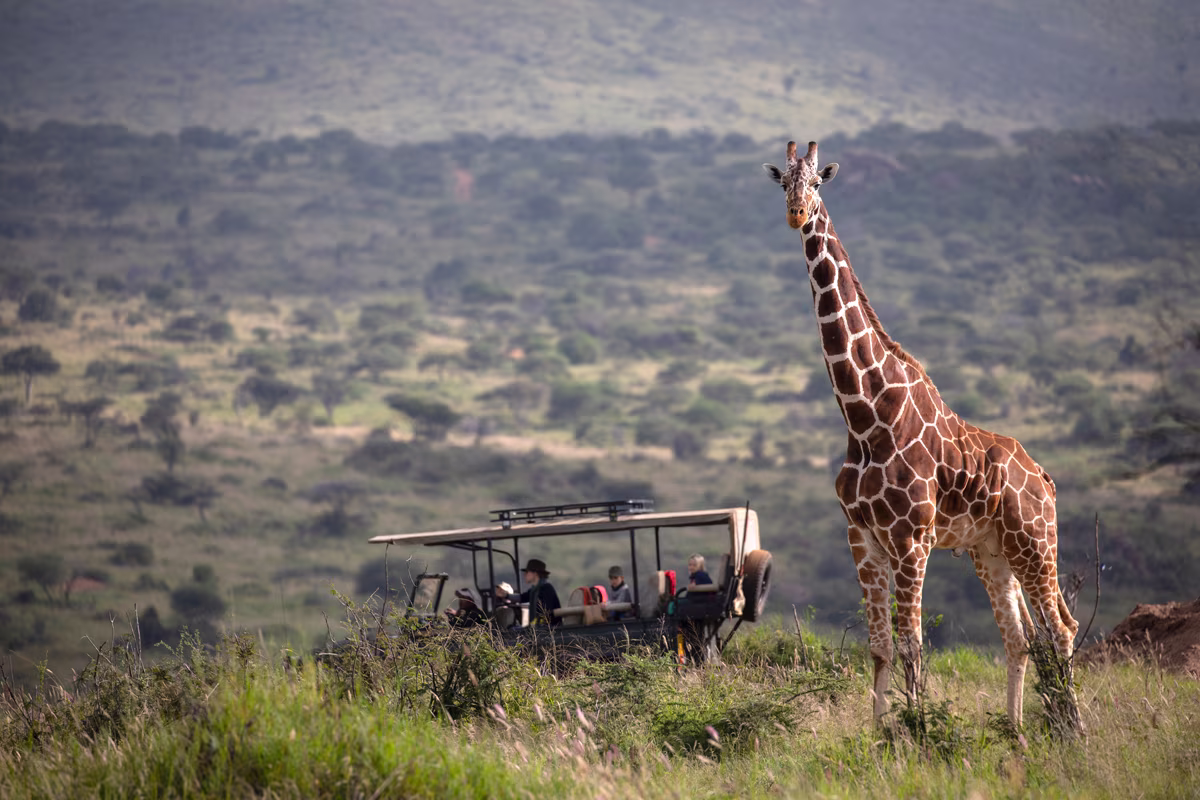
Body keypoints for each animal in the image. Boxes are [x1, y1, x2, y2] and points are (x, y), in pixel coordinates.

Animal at [763, 141, 1078, 727]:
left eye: (817, 182)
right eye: (783, 182)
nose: (796, 213)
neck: (865, 414)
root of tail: (1044, 478)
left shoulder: (912, 539)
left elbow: (912, 644)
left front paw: (918, 731)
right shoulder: (862, 537)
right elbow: (880, 646)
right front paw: (882, 733)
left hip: (1034, 541)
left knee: (1061, 629)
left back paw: (1075, 729)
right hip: (991, 550)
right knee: (1022, 637)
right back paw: (1020, 732)